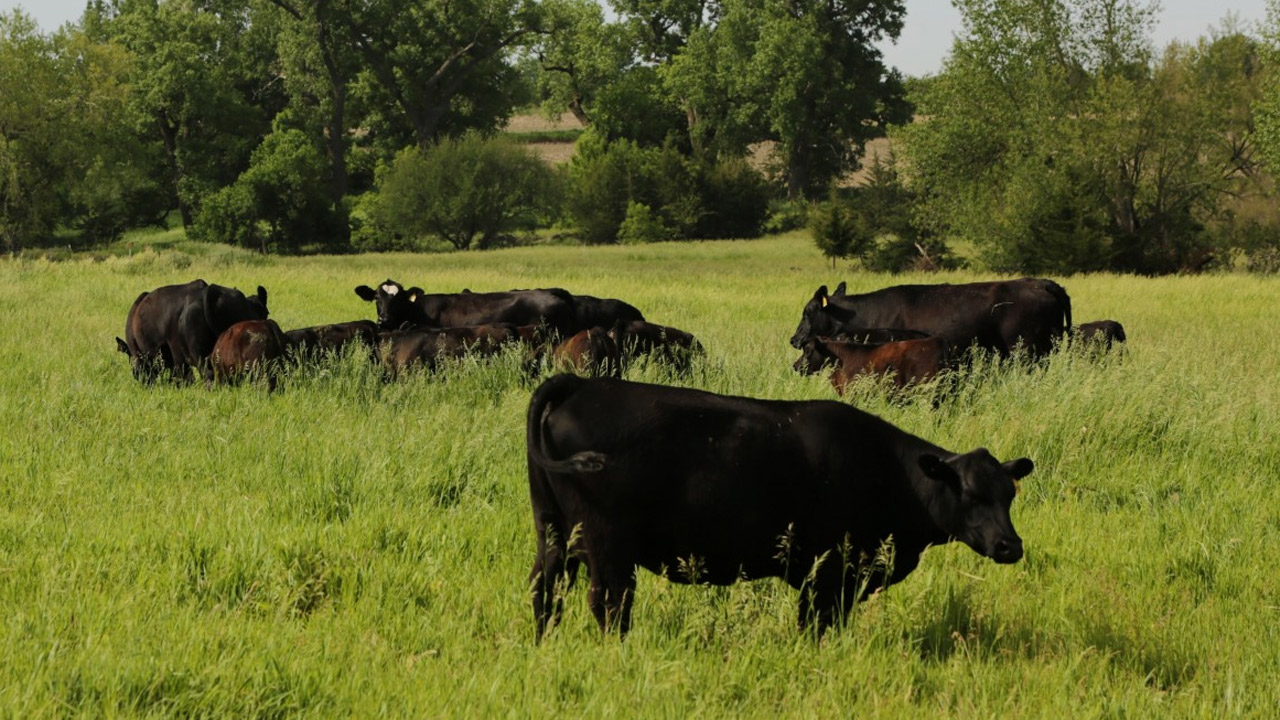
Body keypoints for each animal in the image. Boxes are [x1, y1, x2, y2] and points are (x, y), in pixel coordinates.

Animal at [524, 371, 1034, 635]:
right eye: (968, 492)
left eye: (1009, 493)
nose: (1010, 546)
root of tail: (580, 382)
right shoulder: (827, 571)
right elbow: (817, 625)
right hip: (606, 544)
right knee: (609, 603)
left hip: (553, 530)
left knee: (544, 590)